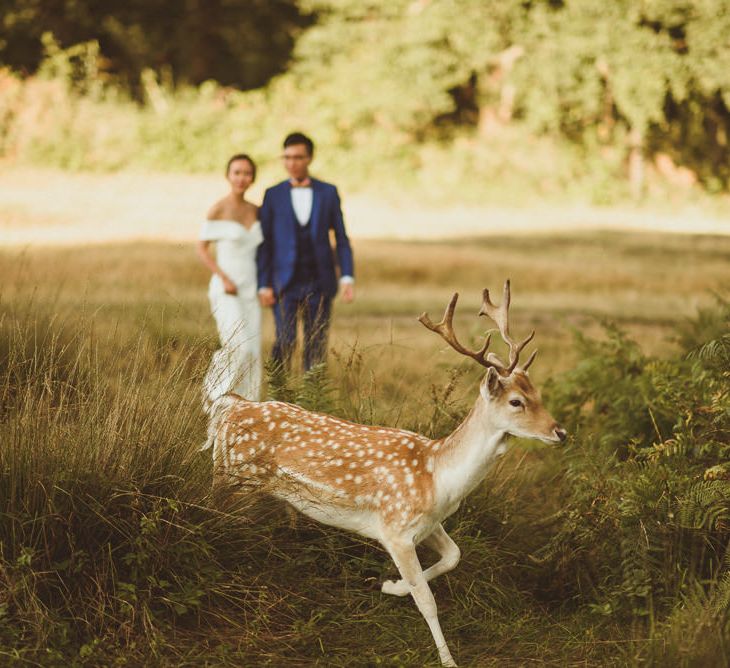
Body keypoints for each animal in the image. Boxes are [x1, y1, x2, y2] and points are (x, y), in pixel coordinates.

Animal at [202, 280, 564, 664]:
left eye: (538, 393)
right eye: (516, 402)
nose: (561, 432)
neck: (438, 478)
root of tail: (231, 407)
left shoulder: (428, 524)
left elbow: (453, 556)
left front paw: (391, 586)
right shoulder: (394, 528)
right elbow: (427, 600)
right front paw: (448, 659)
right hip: (229, 475)